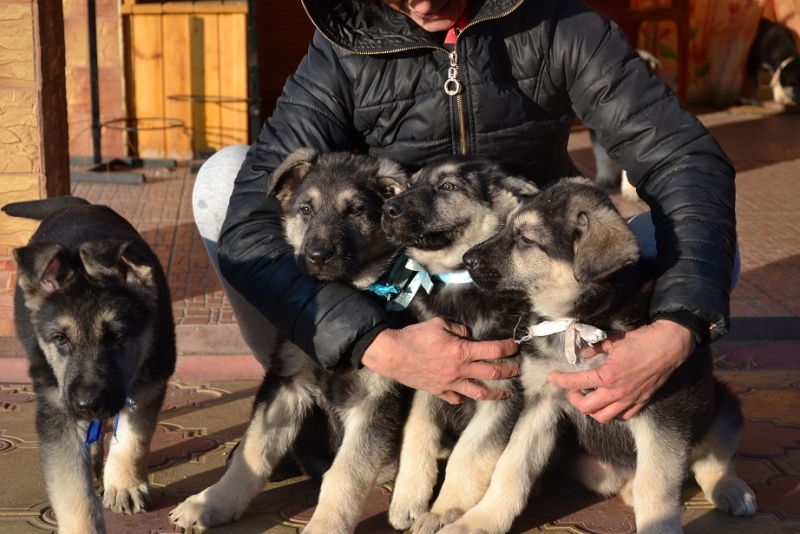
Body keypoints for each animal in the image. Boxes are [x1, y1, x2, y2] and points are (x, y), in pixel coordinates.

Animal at [3, 198, 175, 534]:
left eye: (117, 336)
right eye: (60, 339)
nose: (88, 404)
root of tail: (77, 203)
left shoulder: (148, 385)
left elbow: (133, 439)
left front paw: (124, 484)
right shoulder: (57, 410)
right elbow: (72, 490)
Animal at [173, 150, 416, 534]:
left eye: (356, 211)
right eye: (305, 209)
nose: (317, 256)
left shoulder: (375, 399)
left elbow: (345, 473)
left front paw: (325, 525)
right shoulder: (288, 382)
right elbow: (253, 452)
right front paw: (211, 502)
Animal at [380, 157, 540, 532]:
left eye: (448, 187)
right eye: (411, 184)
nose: (386, 209)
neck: (459, 279)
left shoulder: (500, 394)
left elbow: (468, 454)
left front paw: (441, 511)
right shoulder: (429, 380)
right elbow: (417, 434)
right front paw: (407, 500)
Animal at [440, 180, 760, 534]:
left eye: (525, 239)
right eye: (508, 226)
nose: (466, 259)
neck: (582, 319)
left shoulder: (661, 412)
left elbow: (656, 484)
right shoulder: (541, 402)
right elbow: (511, 465)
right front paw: (479, 520)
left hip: (724, 406)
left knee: (710, 463)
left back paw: (731, 489)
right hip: (595, 468)